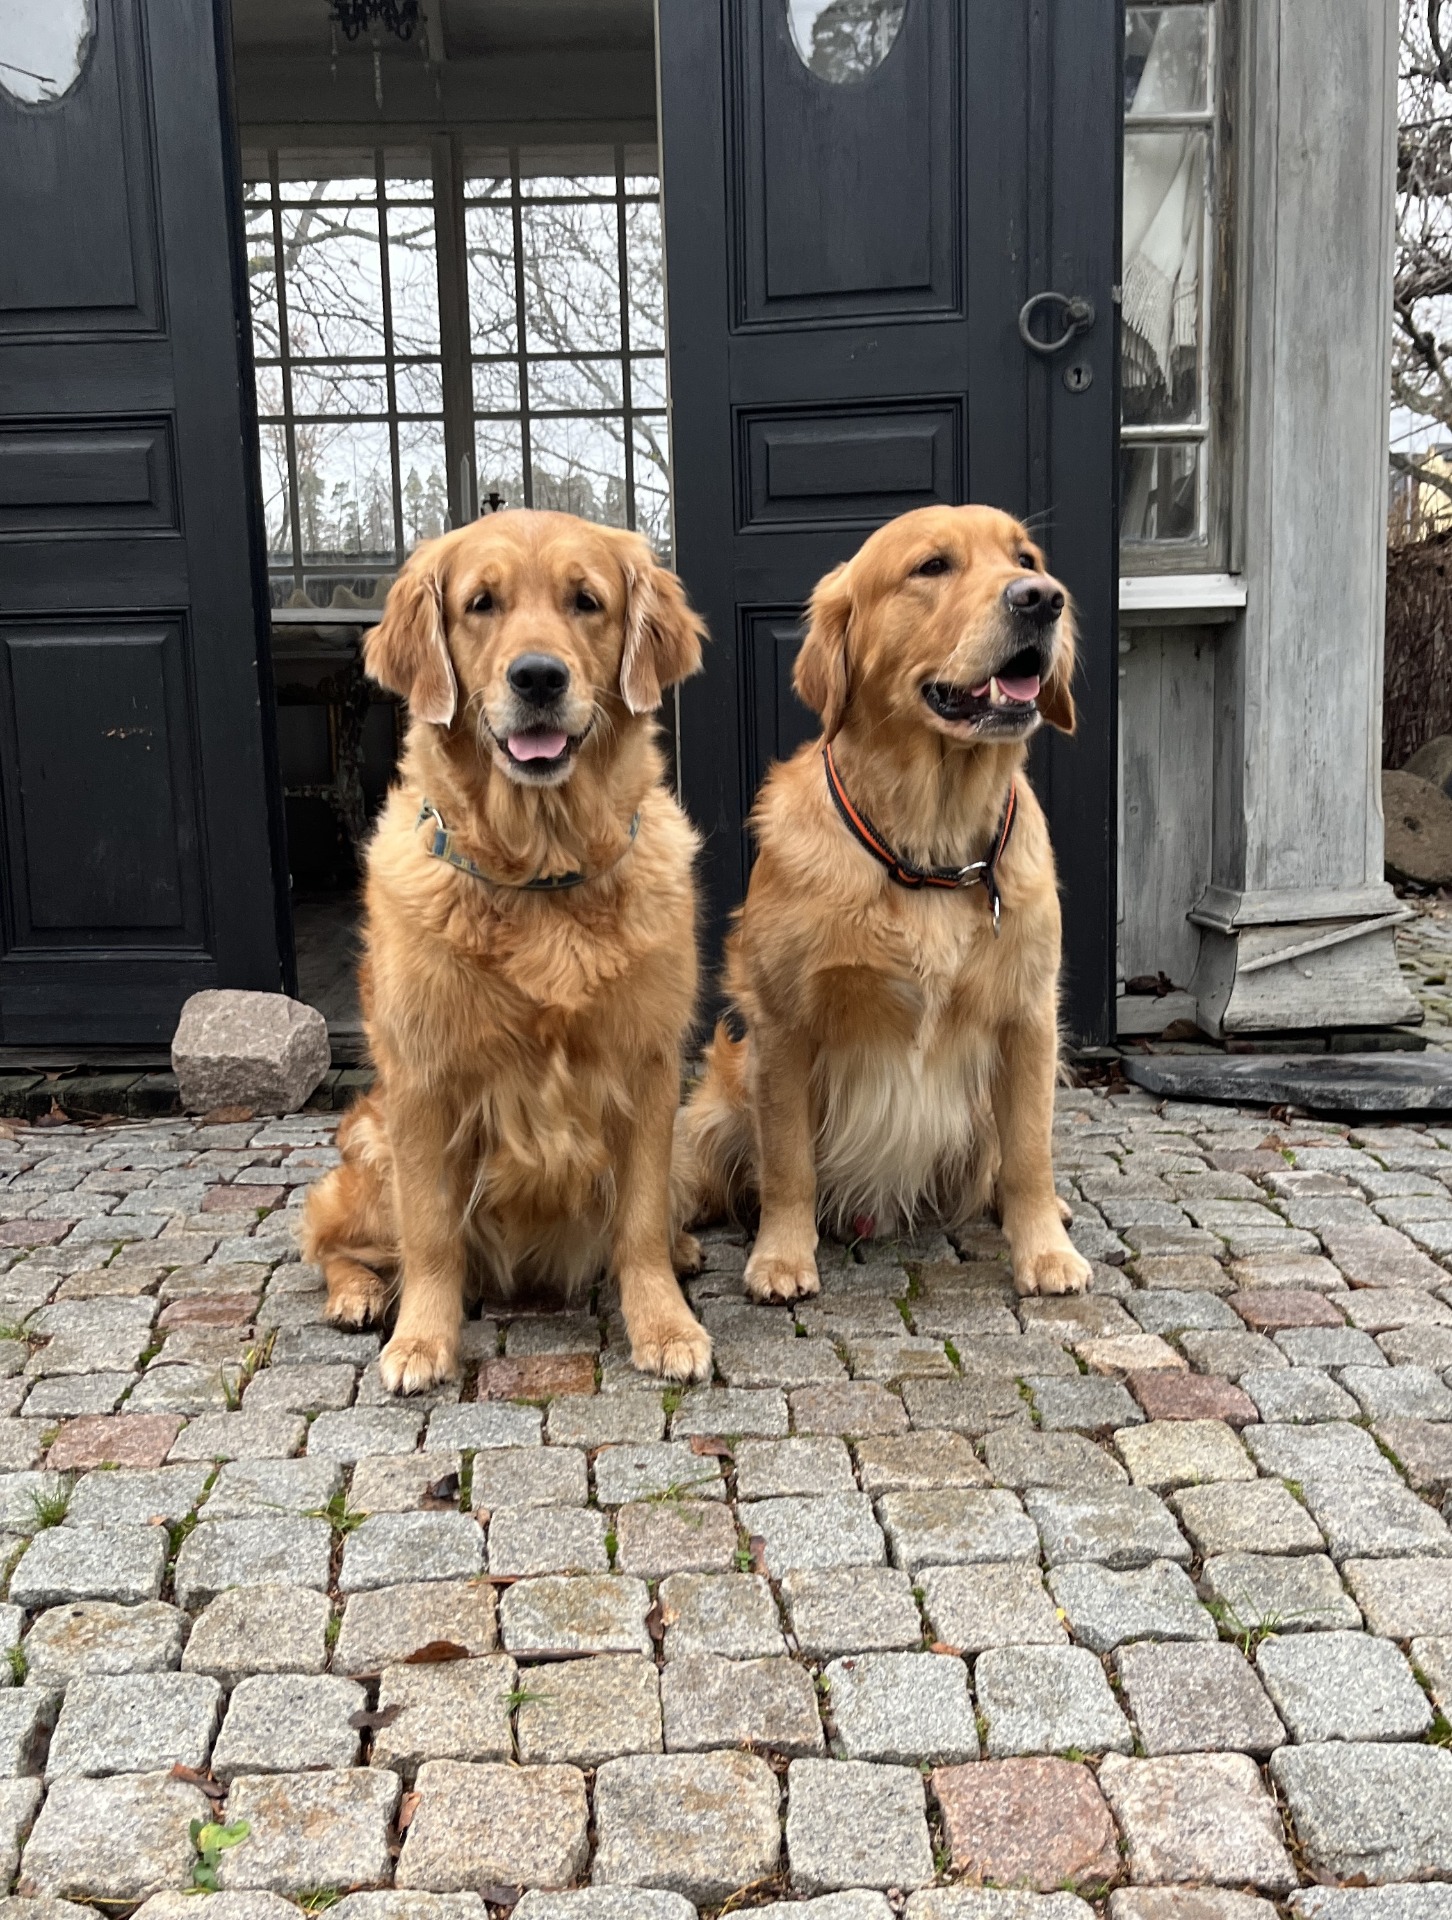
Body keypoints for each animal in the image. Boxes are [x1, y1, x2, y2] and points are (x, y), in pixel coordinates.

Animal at [300, 509, 714, 1393]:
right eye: (480, 604)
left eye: (586, 601)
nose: (538, 678)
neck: (541, 874)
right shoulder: (423, 1085)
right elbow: (431, 1235)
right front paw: (422, 1341)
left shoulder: (650, 1068)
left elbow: (637, 1224)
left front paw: (664, 1324)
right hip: (369, 1152)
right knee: (328, 1238)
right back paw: (358, 1295)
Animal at [678, 503, 1092, 1303]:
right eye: (932, 566)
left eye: (1025, 557)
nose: (1043, 599)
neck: (930, 852)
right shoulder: (784, 1024)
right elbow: (789, 1164)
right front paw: (782, 1257)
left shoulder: (1029, 1016)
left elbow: (1029, 1151)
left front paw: (1044, 1251)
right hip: (717, 1104)